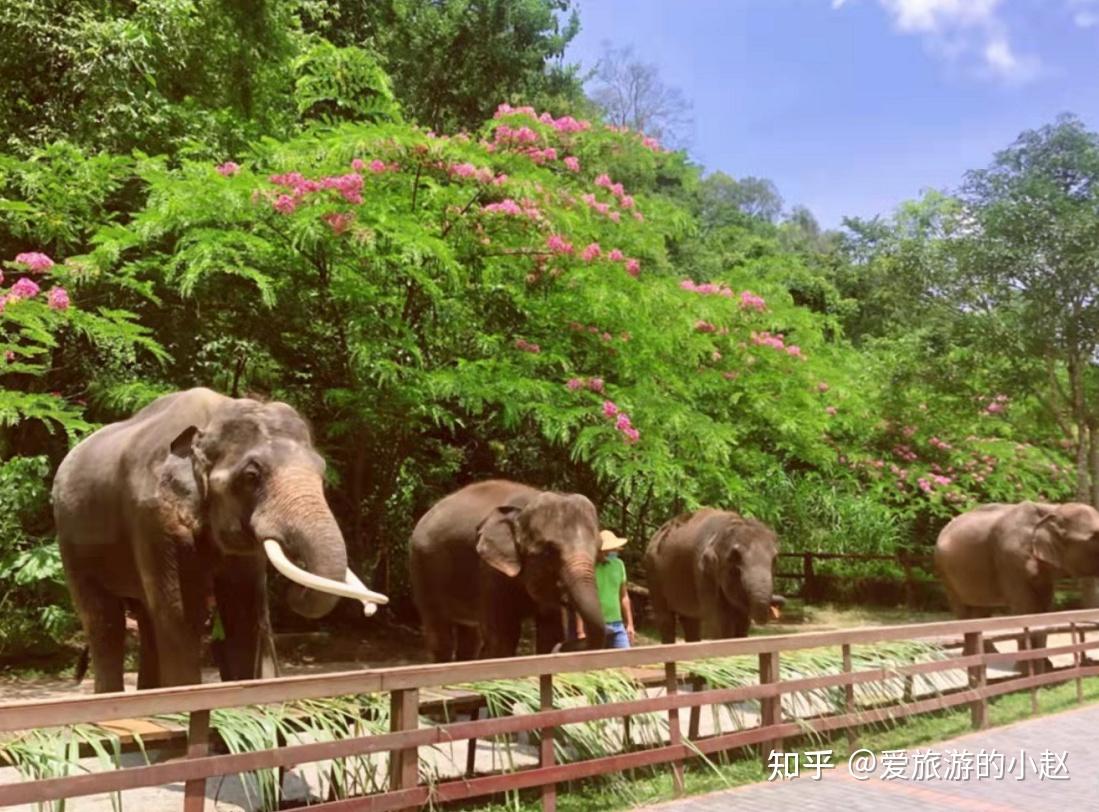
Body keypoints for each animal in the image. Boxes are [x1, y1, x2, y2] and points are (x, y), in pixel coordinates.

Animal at [51, 386, 386, 694]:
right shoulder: (154, 517)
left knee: (145, 617)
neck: (211, 419)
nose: (293, 594)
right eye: (251, 476)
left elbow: (242, 611)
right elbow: (181, 614)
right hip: (71, 540)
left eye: (322, 473)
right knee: (104, 621)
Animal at [408, 479, 606, 663]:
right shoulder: (489, 571)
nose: (561, 649)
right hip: (422, 568)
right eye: (548, 551)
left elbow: (551, 631)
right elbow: (503, 637)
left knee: (469, 638)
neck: (523, 509)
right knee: (440, 636)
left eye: (598, 549)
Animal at [641, 505, 782, 646]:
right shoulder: (703, 574)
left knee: (690, 620)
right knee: (666, 618)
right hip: (653, 574)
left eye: (775, 560)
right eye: (735, 558)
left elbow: (742, 623)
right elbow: (720, 622)